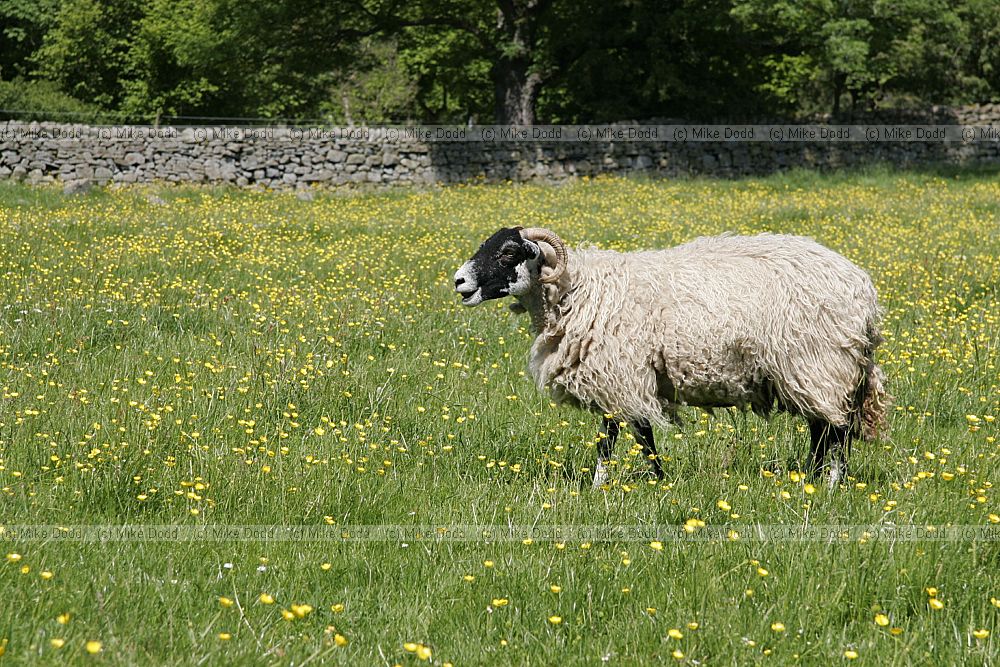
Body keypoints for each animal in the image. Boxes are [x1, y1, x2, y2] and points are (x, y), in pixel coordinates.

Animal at [454, 227, 889, 487]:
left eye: (509, 252)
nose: (458, 280)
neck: (580, 290)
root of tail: (863, 290)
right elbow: (625, 434)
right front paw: (635, 481)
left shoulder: (619, 374)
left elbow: (627, 436)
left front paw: (626, 482)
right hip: (813, 371)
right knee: (822, 428)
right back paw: (812, 478)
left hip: (820, 363)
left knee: (834, 431)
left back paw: (828, 484)